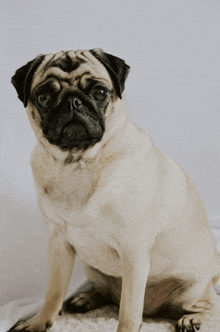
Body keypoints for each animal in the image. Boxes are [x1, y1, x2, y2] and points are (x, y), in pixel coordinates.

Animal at [9, 50, 219, 332]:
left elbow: (129, 310)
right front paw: (38, 322)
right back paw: (85, 299)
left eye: (99, 92)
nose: (73, 102)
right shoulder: (59, 245)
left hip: (191, 288)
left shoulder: (133, 252)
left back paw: (192, 319)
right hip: (92, 268)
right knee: (109, 293)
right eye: (43, 97)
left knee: (210, 305)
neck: (79, 164)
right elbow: (53, 292)